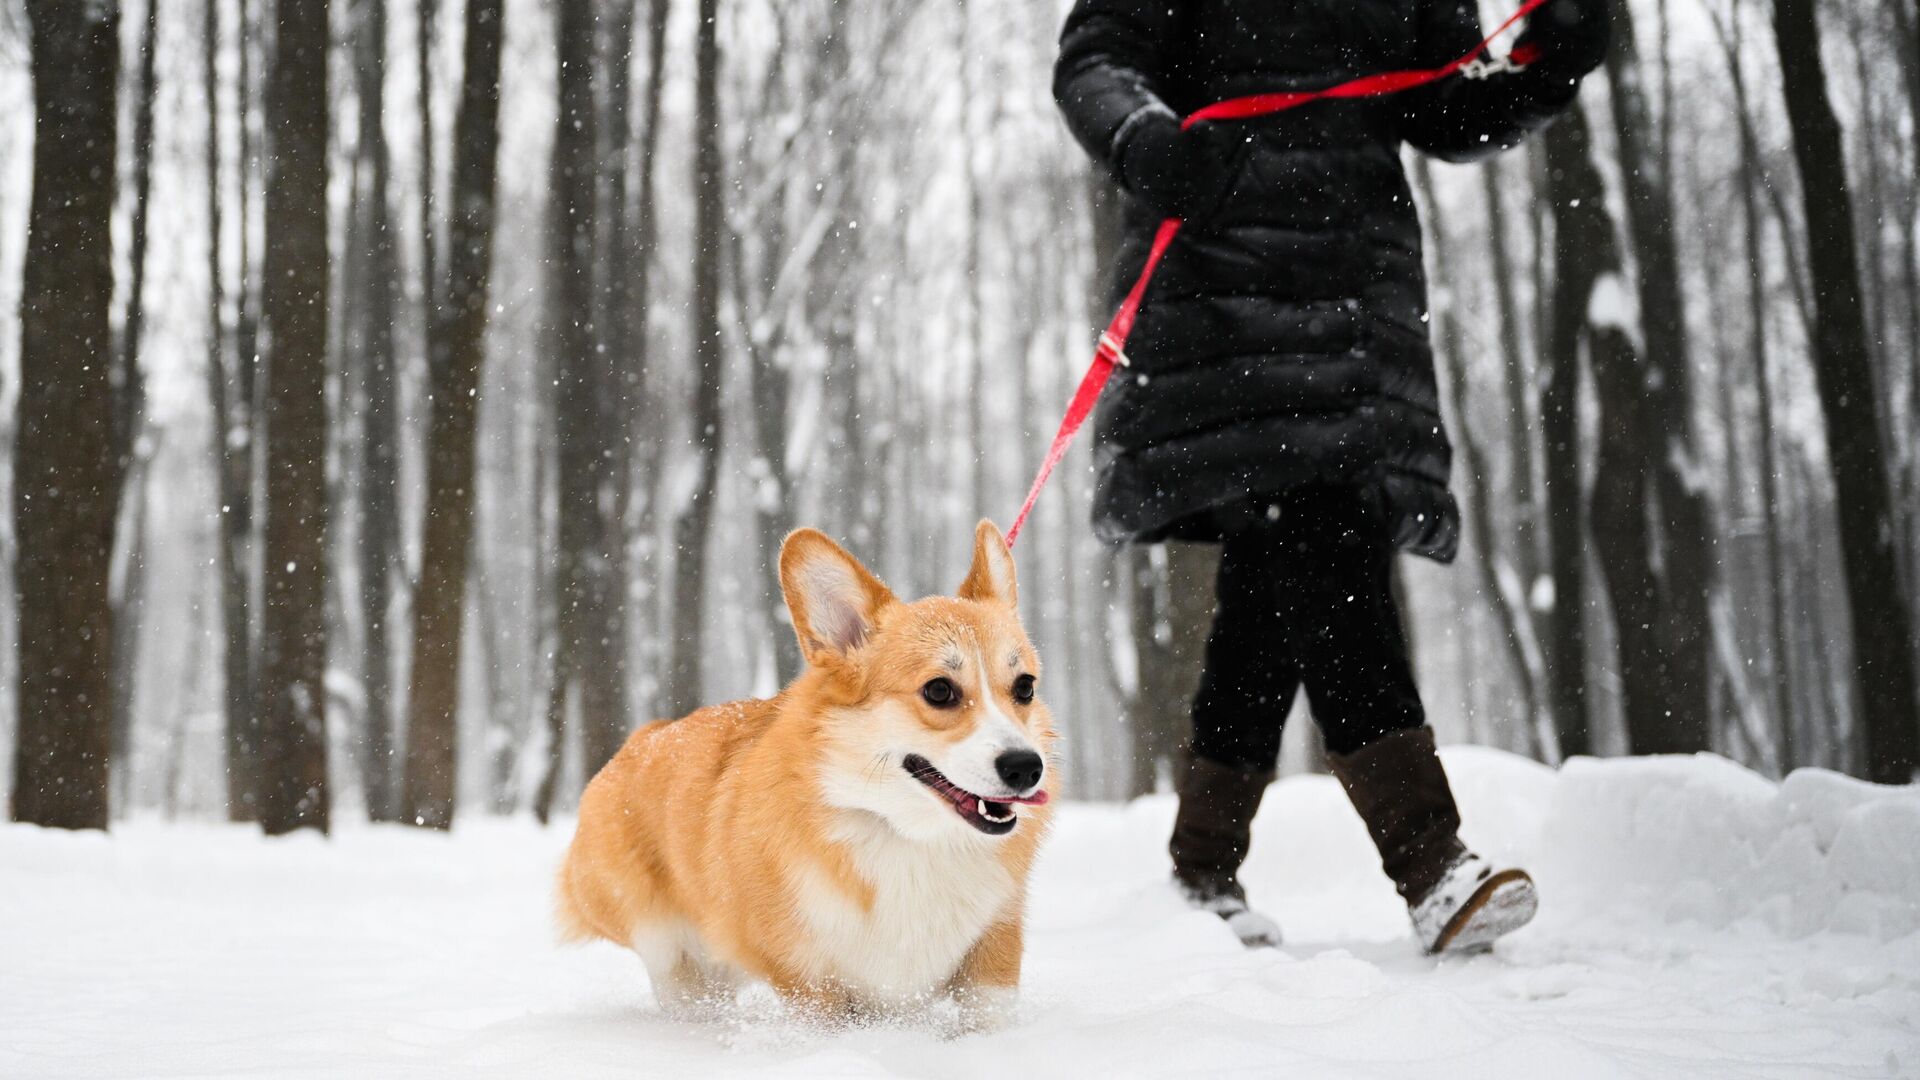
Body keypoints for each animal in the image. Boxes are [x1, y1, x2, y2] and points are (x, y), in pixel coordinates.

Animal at [556, 518, 1067, 1022]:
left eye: (1024, 687)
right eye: (939, 691)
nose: (1026, 768)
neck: (906, 836)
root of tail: (642, 738)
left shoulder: (995, 951)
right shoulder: (810, 984)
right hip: (670, 954)